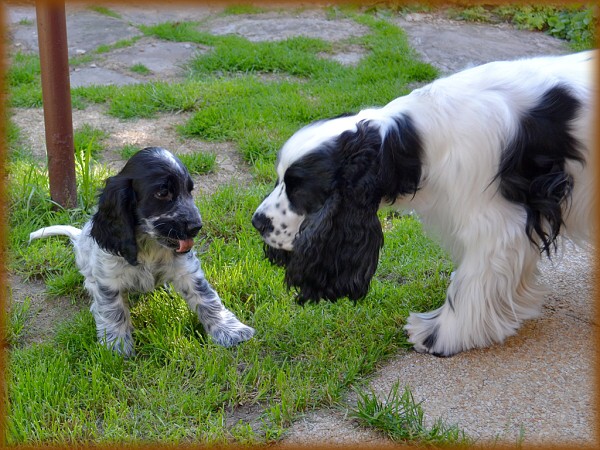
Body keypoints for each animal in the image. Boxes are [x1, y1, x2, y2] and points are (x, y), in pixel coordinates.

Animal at [31, 147, 254, 356]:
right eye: (163, 193)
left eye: (190, 191)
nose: (196, 226)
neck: (149, 246)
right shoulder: (109, 280)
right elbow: (113, 311)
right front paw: (117, 348)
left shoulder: (187, 269)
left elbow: (207, 298)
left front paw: (231, 331)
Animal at [252, 51, 596, 356]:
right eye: (280, 179)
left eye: (299, 189)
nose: (256, 222)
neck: (417, 142)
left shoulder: (494, 226)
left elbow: (467, 284)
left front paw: (442, 335)